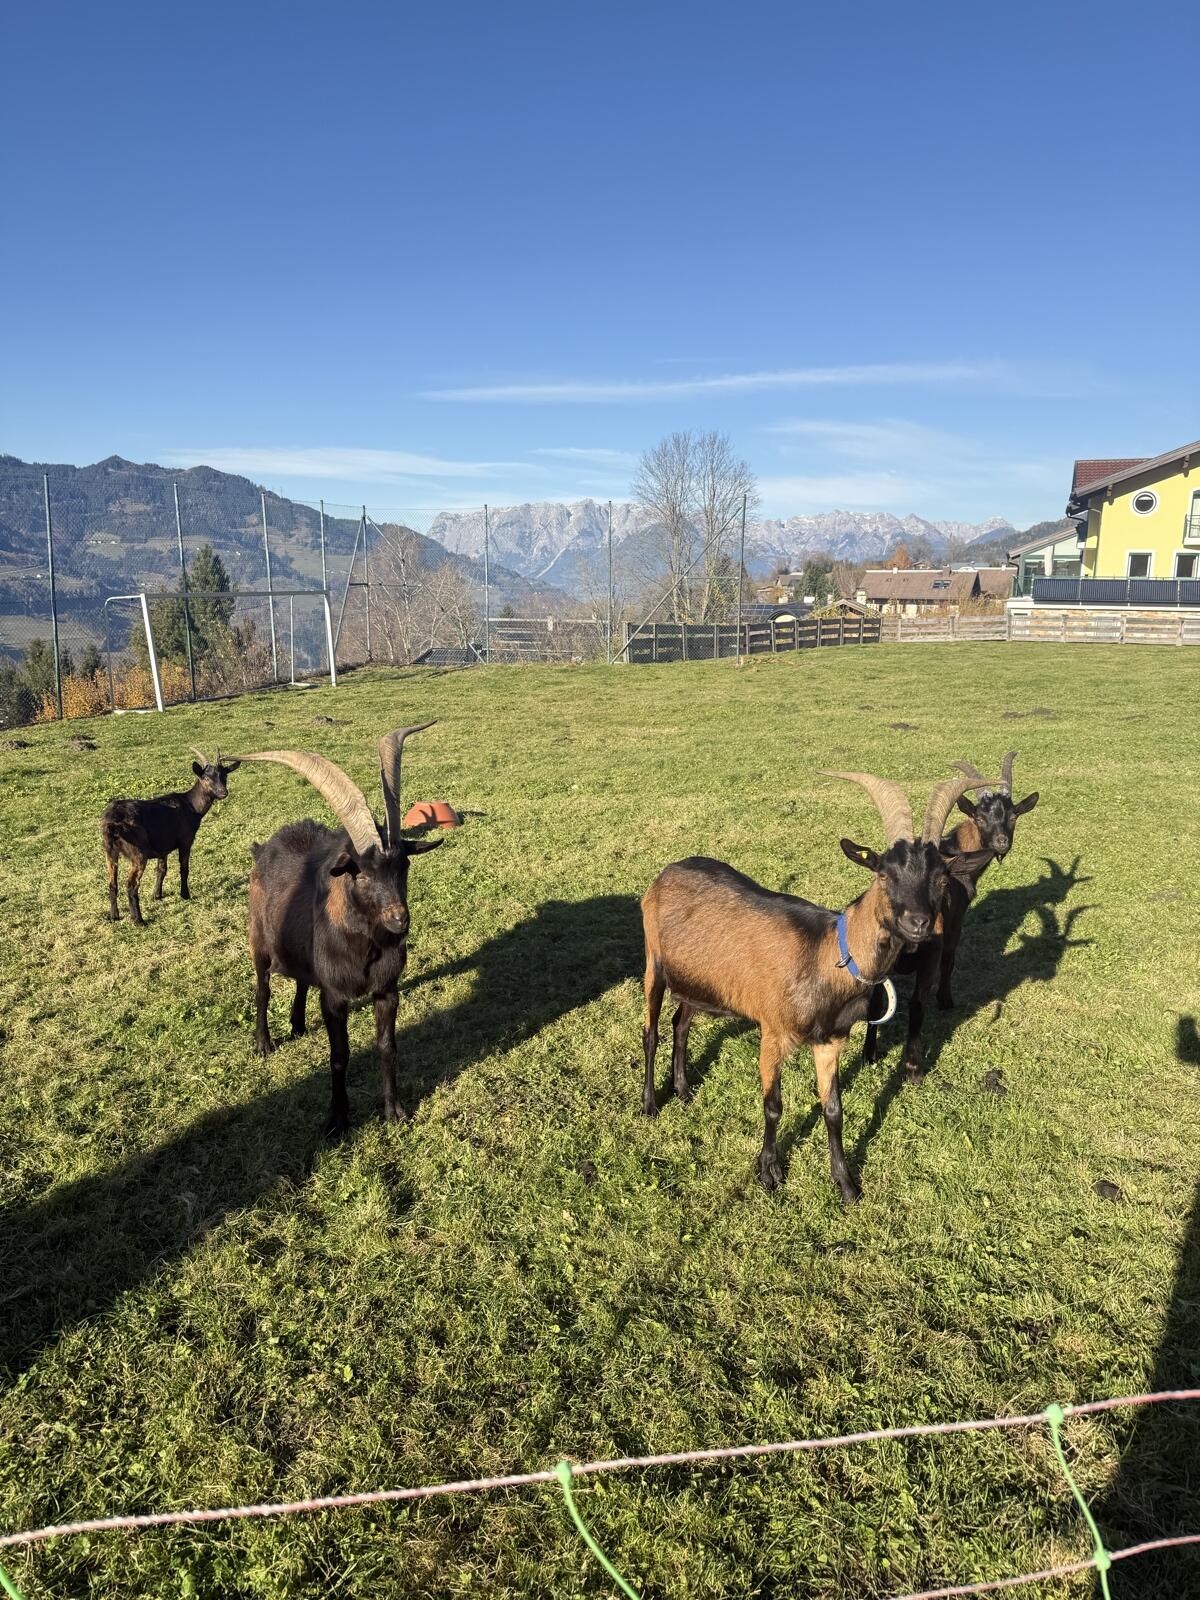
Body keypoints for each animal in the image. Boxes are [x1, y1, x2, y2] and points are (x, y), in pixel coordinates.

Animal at [102, 746, 239, 926]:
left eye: (224, 775)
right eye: (206, 778)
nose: (223, 792)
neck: (191, 806)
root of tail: (112, 823)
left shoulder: (163, 846)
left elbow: (161, 869)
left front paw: (157, 895)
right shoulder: (186, 840)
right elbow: (184, 868)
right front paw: (185, 895)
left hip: (109, 851)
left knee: (112, 883)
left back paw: (114, 916)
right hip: (138, 852)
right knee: (131, 885)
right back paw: (139, 921)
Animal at [243, 725, 443, 1138]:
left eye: (404, 866)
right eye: (361, 874)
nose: (400, 920)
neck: (365, 947)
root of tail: (263, 848)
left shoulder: (387, 990)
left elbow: (387, 1046)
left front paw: (395, 1112)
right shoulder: (335, 996)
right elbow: (339, 1055)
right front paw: (336, 1120)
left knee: (302, 980)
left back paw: (298, 1024)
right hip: (258, 941)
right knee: (263, 987)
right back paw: (264, 1043)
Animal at [640, 772, 993, 1201]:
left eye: (941, 878)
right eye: (884, 874)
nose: (919, 923)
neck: (826, 955)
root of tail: (666, 873)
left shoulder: (830, 1039)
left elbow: (833, 1109)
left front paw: (846, 1183)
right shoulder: (773, 1031)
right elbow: (773, 1105)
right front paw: (769, 1172)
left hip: (698, 981)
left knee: (681, 1024)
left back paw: (683, 1090)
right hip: (654, 964)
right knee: (651, 1032)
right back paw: (650, 1105)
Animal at [862, 751, 1039, 1078]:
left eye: (1013, 816)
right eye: (980, 817)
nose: (1001, 843)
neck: (956, 849)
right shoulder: (956, 920)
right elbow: (949, 960)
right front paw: (945, 1000)